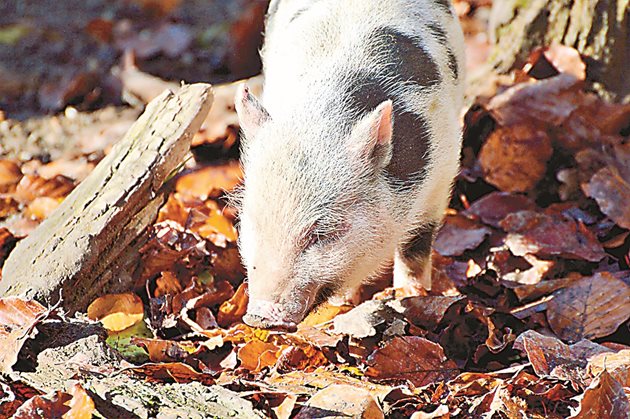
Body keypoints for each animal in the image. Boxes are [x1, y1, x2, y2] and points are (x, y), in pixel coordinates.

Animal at [235, 0, 466, 332]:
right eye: (251, 223)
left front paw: (411, 295)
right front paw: (343, 306)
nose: (259, 316)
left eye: (321, 233)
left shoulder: (443, 171)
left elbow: (415, 247)